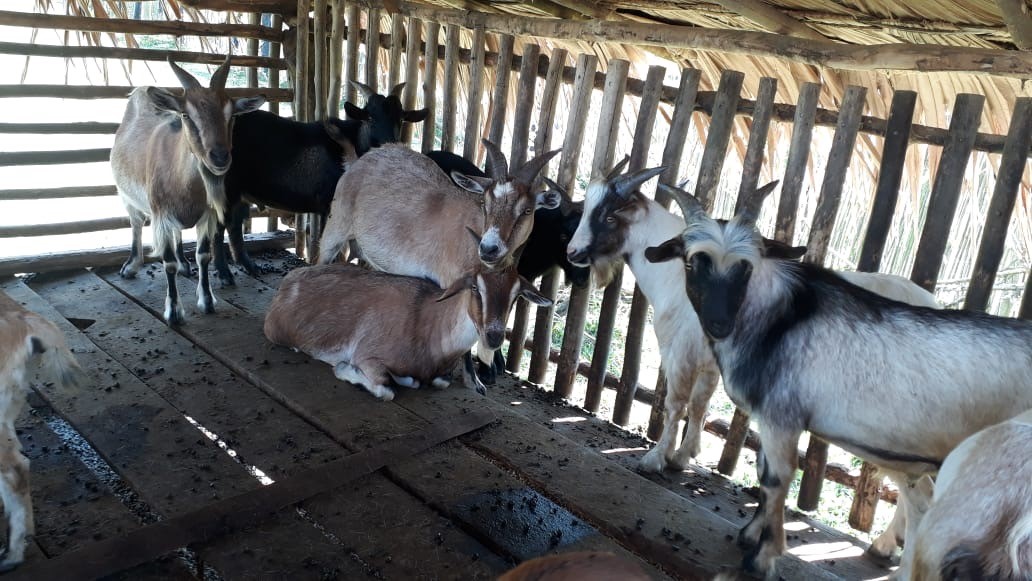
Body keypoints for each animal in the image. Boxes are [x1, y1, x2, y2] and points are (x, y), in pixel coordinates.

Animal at [111, 57, 265, 325]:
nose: (220, 157)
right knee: (136, 224)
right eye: (186, 114)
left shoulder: (207, 215)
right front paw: (174, 311)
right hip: (126, 195)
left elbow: (203, 255)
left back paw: (184, 264)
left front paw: (207, 300)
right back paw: (131, 265)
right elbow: (168, 262)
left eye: (231, 115)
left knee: (177, 234)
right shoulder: (161, 215)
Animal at [214, 81, 427, 284]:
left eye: (400, 118)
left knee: (234, 224)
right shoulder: (330, 205)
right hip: (224, 186)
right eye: (370, 118)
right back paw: (224, 274)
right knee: (219, 226)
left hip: (240, 191)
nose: (389, 145)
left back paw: (249, 266)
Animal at [263, 262, 550, 400]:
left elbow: (437, 381)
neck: (426, 319)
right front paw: (345, 368)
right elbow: (386, 390)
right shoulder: (368, 356)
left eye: (516, 295)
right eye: (475, 287)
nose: (493, 336)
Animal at [317, 140, 560, 387]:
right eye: (485, 203)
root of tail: (361, 159)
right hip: (337, 224)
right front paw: (470, 378)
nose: (489, 248)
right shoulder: (454, 284)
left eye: (527, 210)